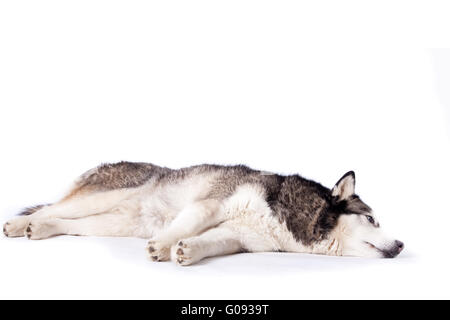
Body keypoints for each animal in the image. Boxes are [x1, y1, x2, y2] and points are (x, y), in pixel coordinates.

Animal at [3, 162, 404, 264]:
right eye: (372, 219)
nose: (401, 245)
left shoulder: (239, 238)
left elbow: (210, 242)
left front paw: (187, 251)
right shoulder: (210, 204)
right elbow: (189, 224)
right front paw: (163, 245)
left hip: (113, 222)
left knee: (64, 221)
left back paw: (40, 229)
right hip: (100, 199)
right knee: (53, 207)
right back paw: (20, 223)